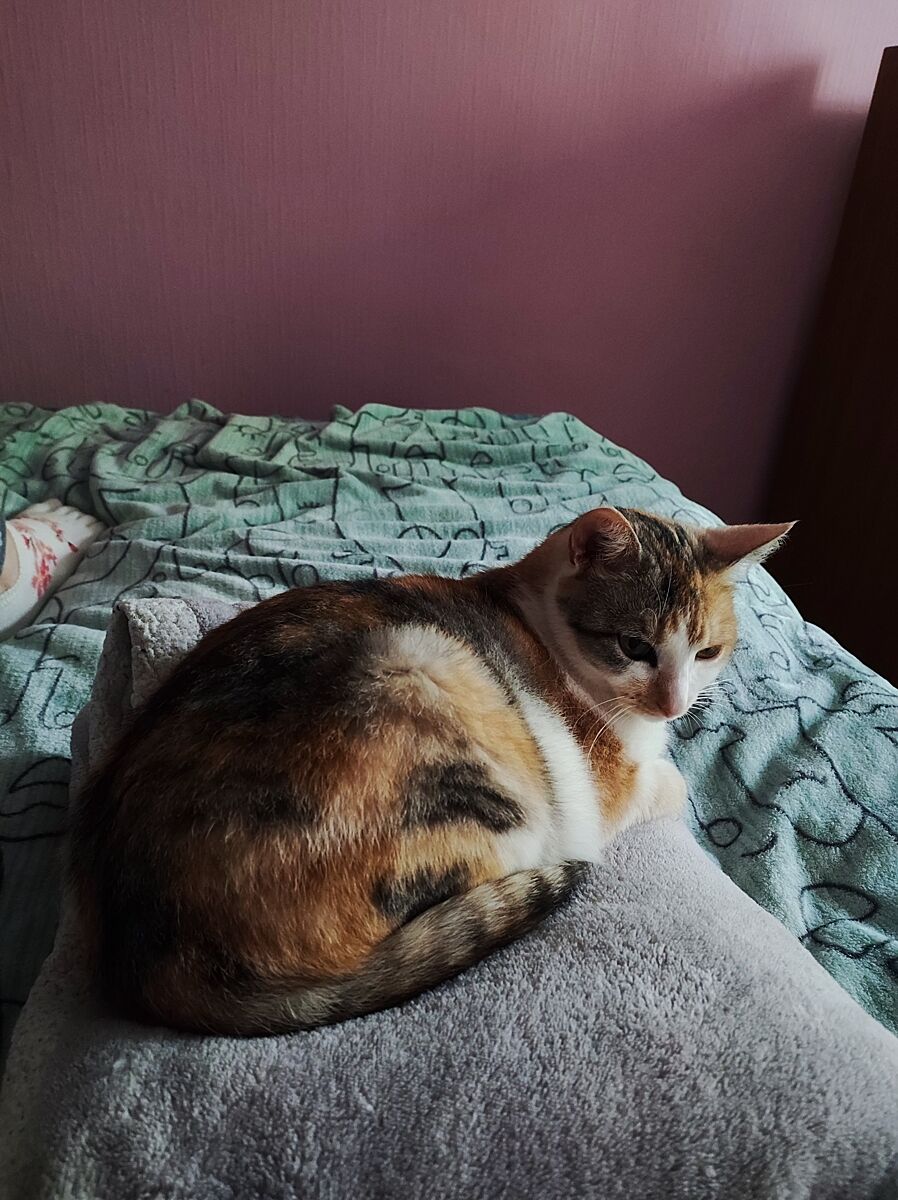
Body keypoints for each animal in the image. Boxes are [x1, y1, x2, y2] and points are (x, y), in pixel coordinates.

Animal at [69, 506, 792, 1035]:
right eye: (635, 647)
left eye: (708, 652)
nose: (673, 703)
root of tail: (154, 957)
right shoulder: (607, 780)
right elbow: (670, 782)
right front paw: (672, 774)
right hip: (439, 707)